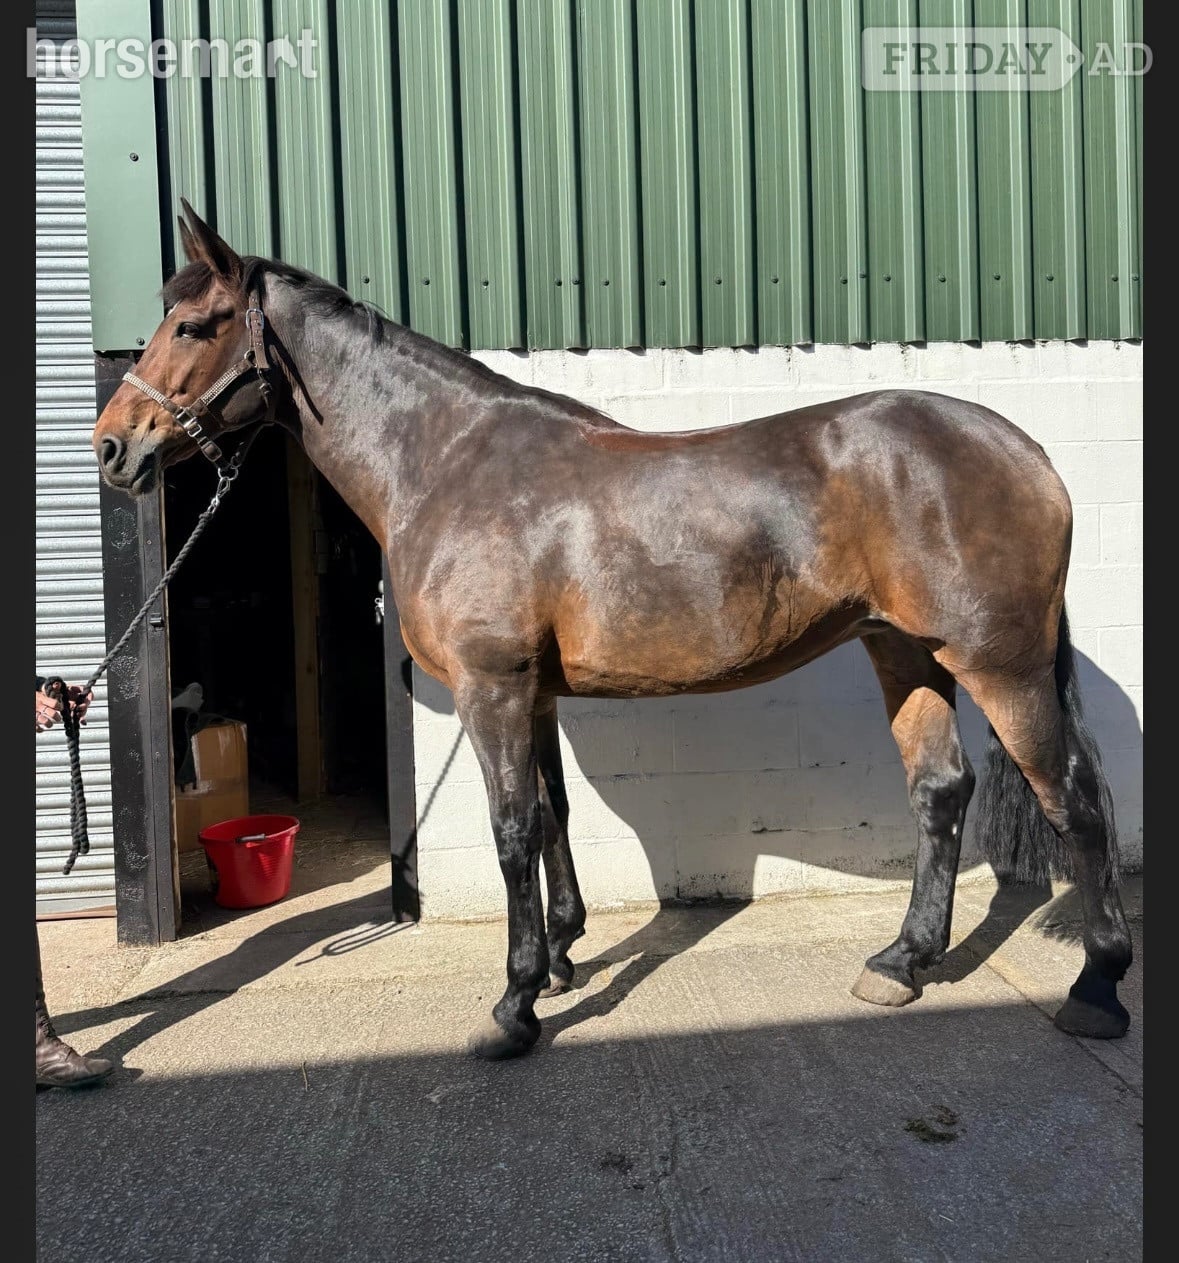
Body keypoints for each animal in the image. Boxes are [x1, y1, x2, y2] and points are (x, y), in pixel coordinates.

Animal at [92, 201, 1132, 1059]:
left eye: (194, 324)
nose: (113, 446)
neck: (446, 462)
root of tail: (1028, 452)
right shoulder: (533, 692)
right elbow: (552, 813)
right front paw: (560, 957)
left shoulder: (494, 686)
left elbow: (512, 826)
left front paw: (513, 1006)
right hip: (903, 650)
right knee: (940, 790)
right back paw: (901, 962)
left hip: (1000, 665)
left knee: (1075, 799)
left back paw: (1096, 985)